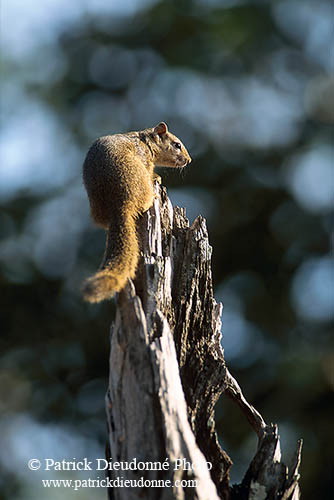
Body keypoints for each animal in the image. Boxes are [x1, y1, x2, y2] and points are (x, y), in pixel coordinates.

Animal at [82, 123, 192, 302]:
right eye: (177, 145)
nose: (189, 160)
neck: (145, 141)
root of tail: (118, 207)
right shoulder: (145, 159)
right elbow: (151, 172)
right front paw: (157, 177)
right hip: (139, 181)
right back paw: (152, 196)